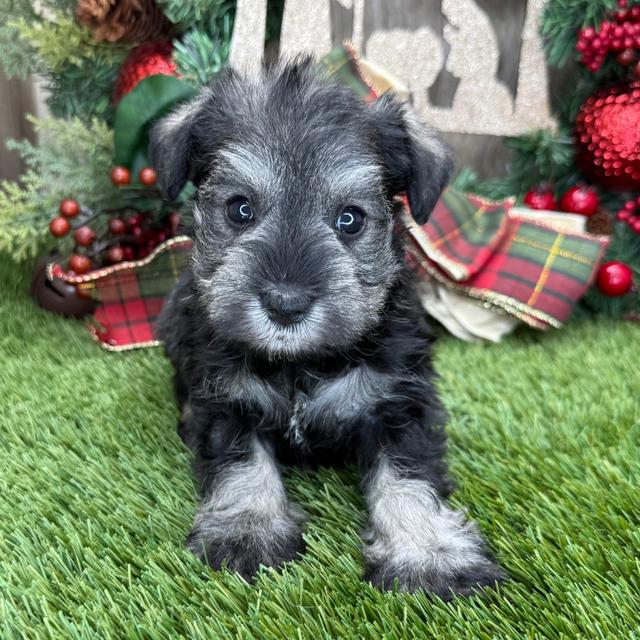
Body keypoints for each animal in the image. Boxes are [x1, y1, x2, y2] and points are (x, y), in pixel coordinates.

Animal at [151, 57, 504, 596]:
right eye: (240, 208)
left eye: (350, 219)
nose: (285, 305)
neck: (299, 363)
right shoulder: (225, 400)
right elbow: (242, 464)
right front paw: (247, 531)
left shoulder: (399, 403)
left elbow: (408, 476)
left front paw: (430, 556)